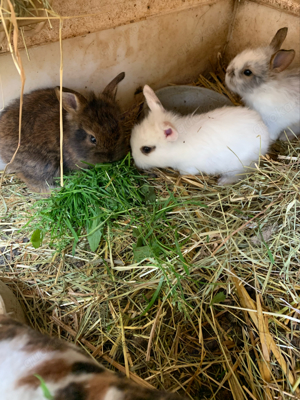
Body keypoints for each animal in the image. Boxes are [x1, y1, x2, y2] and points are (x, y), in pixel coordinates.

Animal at [131, 86, 270, 186]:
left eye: (146, 149)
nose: (135, 162)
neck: (177, 146)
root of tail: (265, 132)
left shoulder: (188, 167)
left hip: (240, 166)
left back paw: (222, 182)